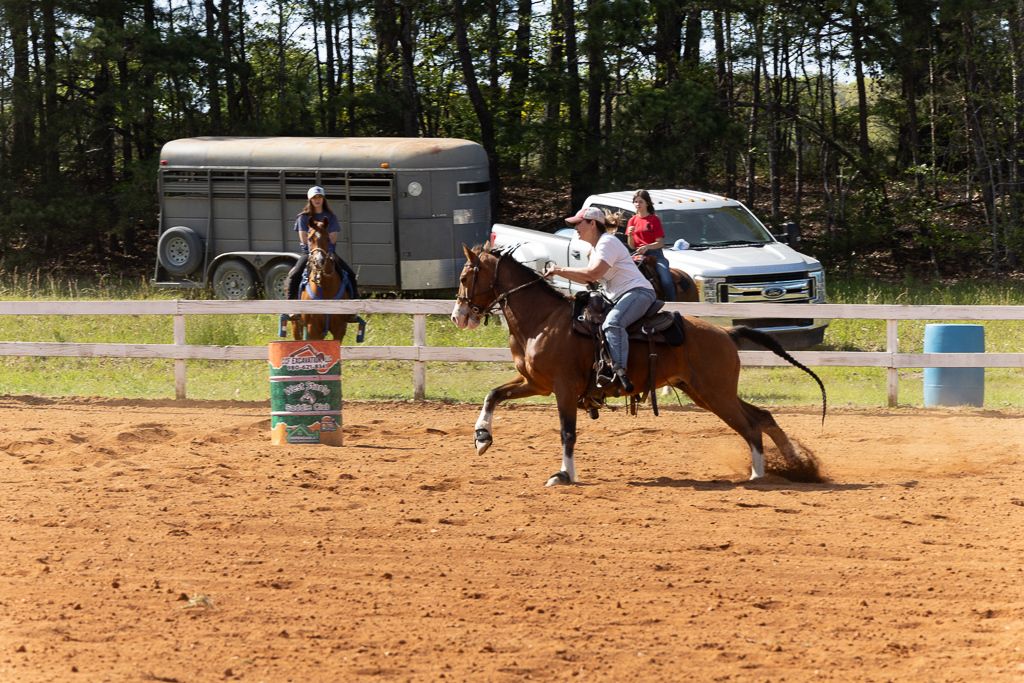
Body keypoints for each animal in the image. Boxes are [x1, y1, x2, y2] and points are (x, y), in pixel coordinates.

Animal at [448, 242, 823, 489]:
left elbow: (567, 432)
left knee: (750, 426)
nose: (458, 316)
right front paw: (482, 437)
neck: (542, 321)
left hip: (716, 393)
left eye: (466, 276)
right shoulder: (536, 383)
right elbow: (493, 395)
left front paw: (564, 474)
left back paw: (759, 475)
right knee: (762, 416)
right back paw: (794, 464)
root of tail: (726, 333)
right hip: (705, 391)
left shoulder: (564, 387)